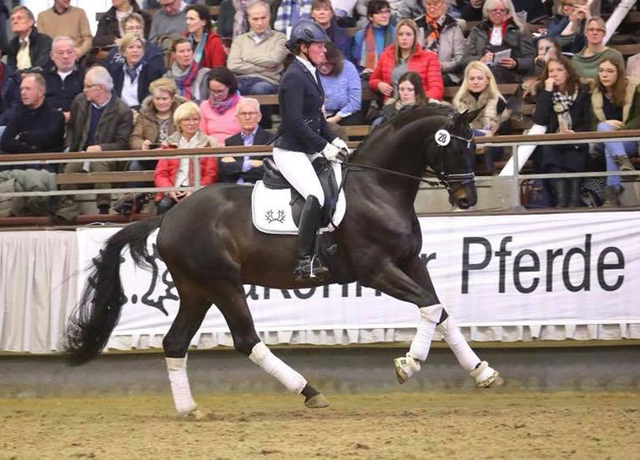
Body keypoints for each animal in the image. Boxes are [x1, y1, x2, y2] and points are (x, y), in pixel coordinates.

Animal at [66, 104, 504, 420]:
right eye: (454, 146)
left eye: (473, 145)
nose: (467, 199)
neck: (378, 188)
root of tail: (169, 216)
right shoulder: (377, 270)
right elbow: (428, 306)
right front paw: (408, 365)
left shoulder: (410, 262)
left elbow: (439, 311)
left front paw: (483, 372)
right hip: (223, 284)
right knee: (246, 339)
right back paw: (308, 391)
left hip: (196, 289)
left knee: (175, 343)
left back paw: (190, 409)